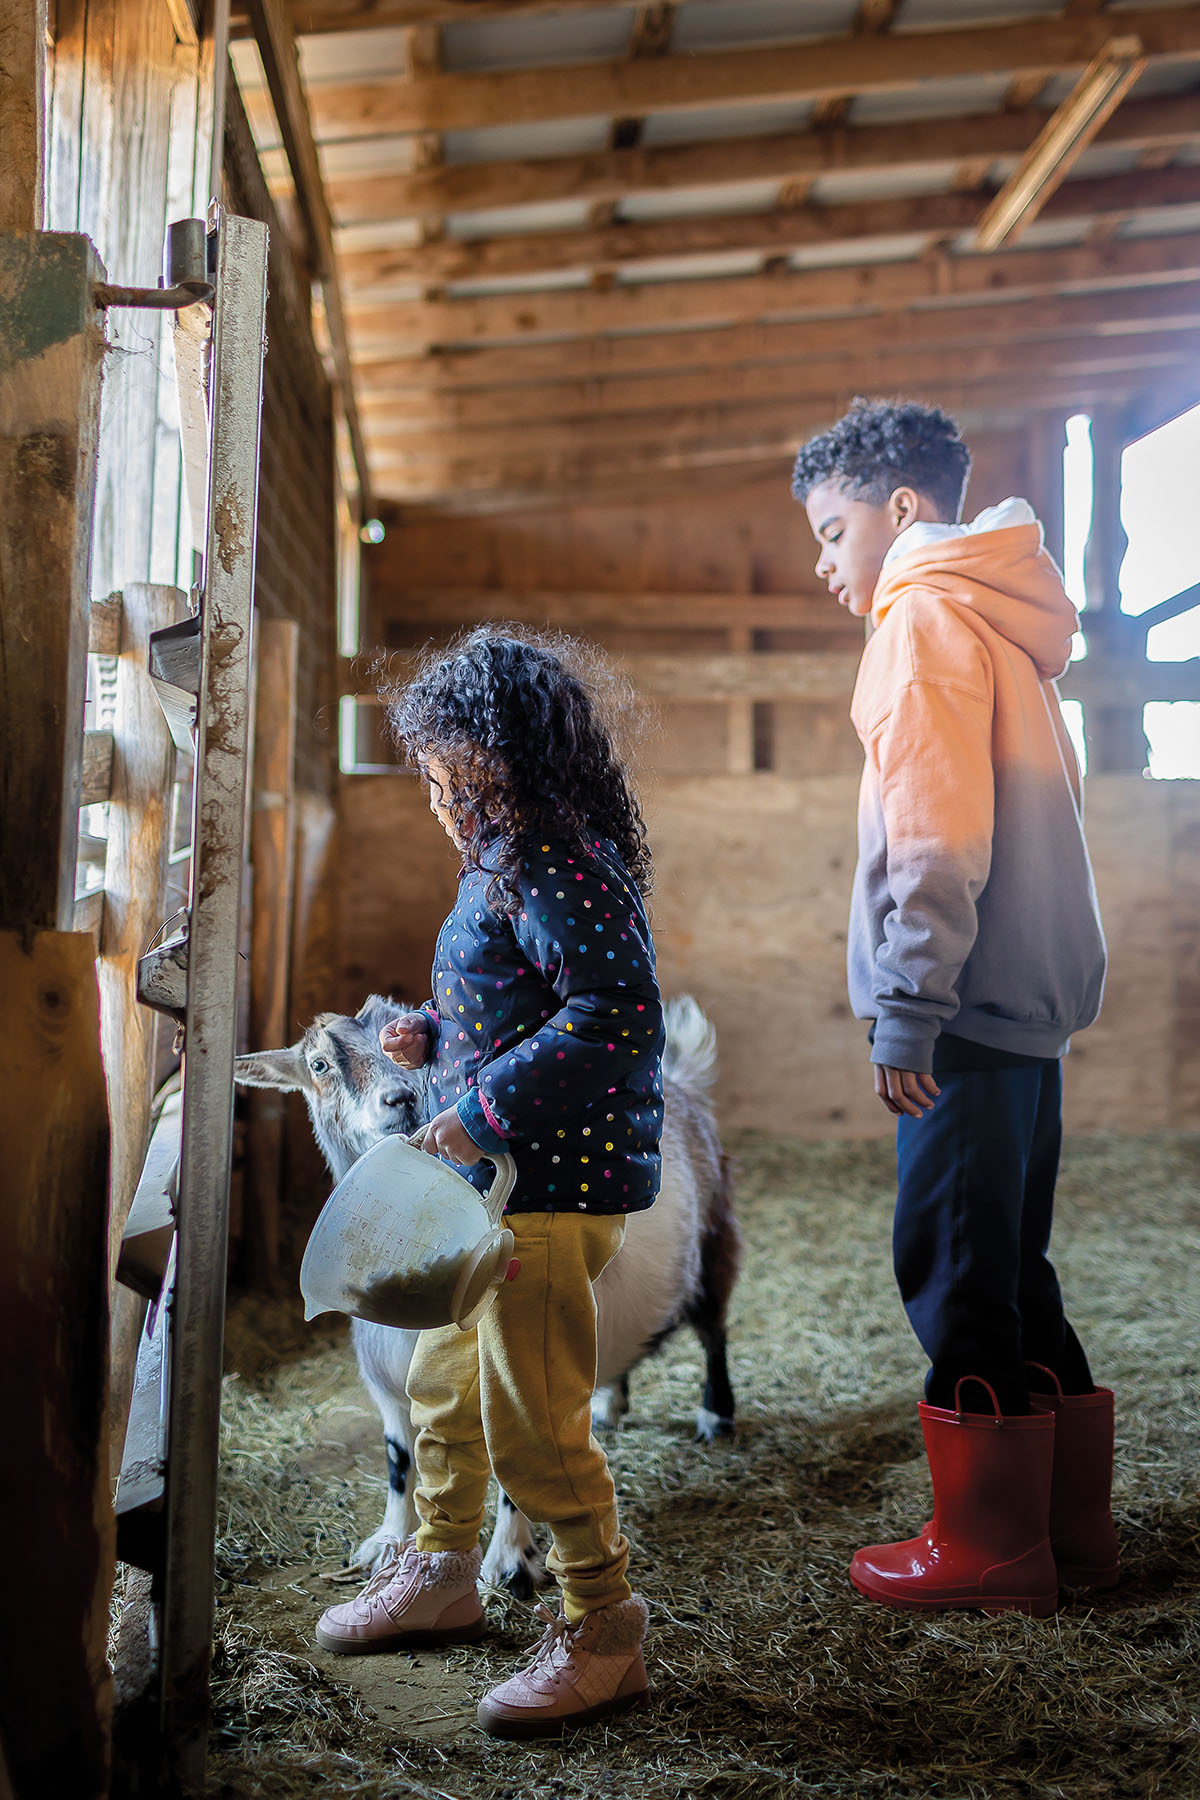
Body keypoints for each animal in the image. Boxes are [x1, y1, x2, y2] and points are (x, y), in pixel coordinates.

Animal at [233, 993, 737, 1598]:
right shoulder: (386, 1381)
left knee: (714, 1330)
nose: (400, 1098)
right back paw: (609, 1404)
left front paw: (508, 1561)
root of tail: (683, 1082)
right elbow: (399, 1458)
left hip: (714, 1245)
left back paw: (715, 1416)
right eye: (319, 1064)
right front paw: (387, 1543)